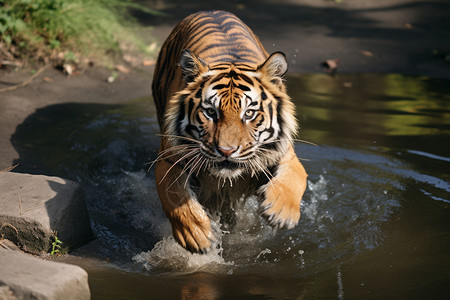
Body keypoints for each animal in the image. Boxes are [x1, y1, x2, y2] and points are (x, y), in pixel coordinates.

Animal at [153, 9, 308, 253]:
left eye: (249, 113)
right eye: (210, 112)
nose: (226, 151)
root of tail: (210, 10)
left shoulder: (283, 152)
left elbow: (297, 176)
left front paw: (281, 212)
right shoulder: (169, 159)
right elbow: (173, 195)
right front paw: (196, 234)